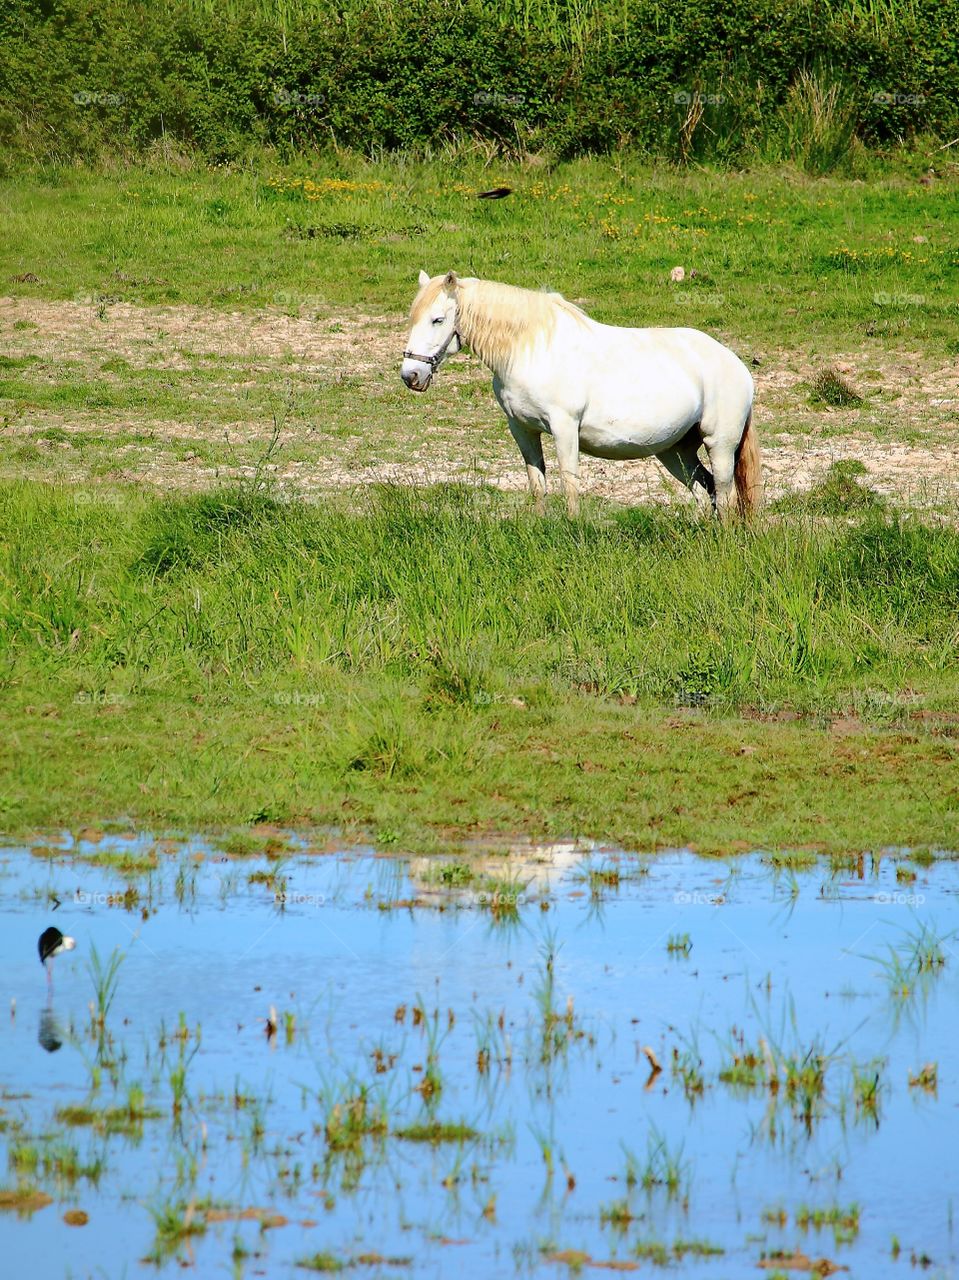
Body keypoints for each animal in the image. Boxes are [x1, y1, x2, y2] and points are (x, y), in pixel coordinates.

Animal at [399, 271, 757, 519]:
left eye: (438, 319)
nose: (411, 375)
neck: (532, 349)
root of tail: (736, 365)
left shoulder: (564, 428)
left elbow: (569, 484)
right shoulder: (522, 429)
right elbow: (537, 484)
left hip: (719, 444)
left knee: (726, 496)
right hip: (675, 451)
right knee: (704, 492)